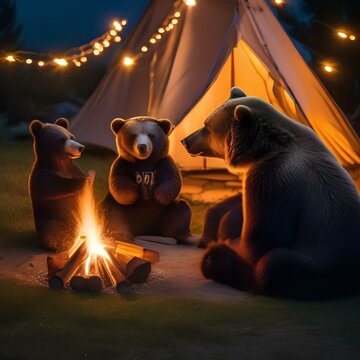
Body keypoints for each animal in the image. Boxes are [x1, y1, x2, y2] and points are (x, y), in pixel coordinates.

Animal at [28, 117, 95, 250]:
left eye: (72, 137)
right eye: (62, 139)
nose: (81, 147)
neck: (61, 163)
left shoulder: (73, 168)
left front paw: (90, 175)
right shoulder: (42, 175)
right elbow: (53, 188)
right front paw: (83, 180)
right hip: (53, 219)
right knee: (54, 231)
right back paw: (66, 243)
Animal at [181, 86, 360, 298]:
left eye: (207, 127)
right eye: (205, 122)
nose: (185, 140)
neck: (266, 148)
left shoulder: (271, 178)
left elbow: (260, 239)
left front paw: (229, 241)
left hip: (320, 263)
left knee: (275, 264)